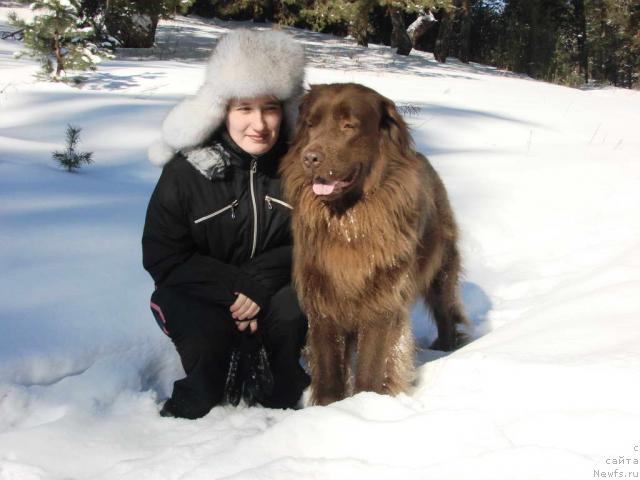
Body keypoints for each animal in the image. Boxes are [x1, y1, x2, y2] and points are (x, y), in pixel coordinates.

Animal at [278, 82, 468, 404]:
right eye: (311, 125)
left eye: (348, 125)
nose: (310, 157)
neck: (349, 221)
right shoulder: (323, 299)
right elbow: (329, 370)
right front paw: (330, 407)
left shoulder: (382, 300)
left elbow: (372, 366)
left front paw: (363, 404)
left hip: (440, 268)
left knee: (444, 308)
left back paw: (446, 347)